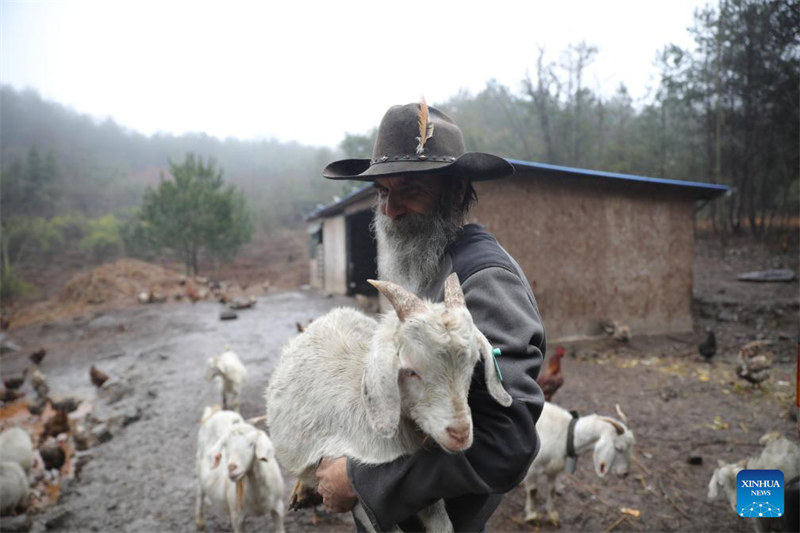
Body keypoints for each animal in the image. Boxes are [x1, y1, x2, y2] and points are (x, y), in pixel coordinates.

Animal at [266, 274, 510, 532]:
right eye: (410, 371)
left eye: (473, 363)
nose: (460, 434)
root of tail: (330, 315)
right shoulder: (357, 499)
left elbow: (442, 524)